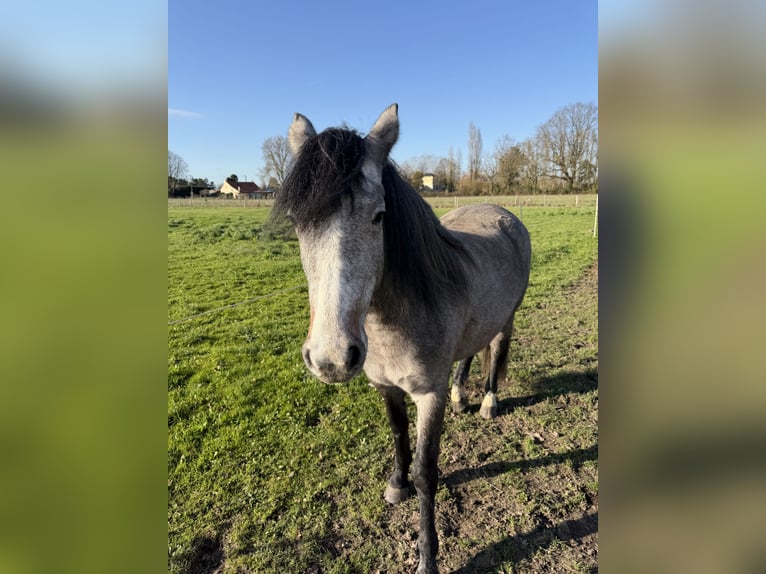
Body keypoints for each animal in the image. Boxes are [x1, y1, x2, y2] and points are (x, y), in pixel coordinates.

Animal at [274, 104, 531, 574]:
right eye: (297, 222)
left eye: (379, 216)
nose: (331, 358)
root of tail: (502, 211)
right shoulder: (385, 385)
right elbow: (397, 435)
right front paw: (396, 485)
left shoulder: (428, 396)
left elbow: (427, 472)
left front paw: (427, 557)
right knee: (469, 354)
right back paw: (462, 395)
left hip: (508, 317)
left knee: (496, 350)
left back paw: (487, 402)